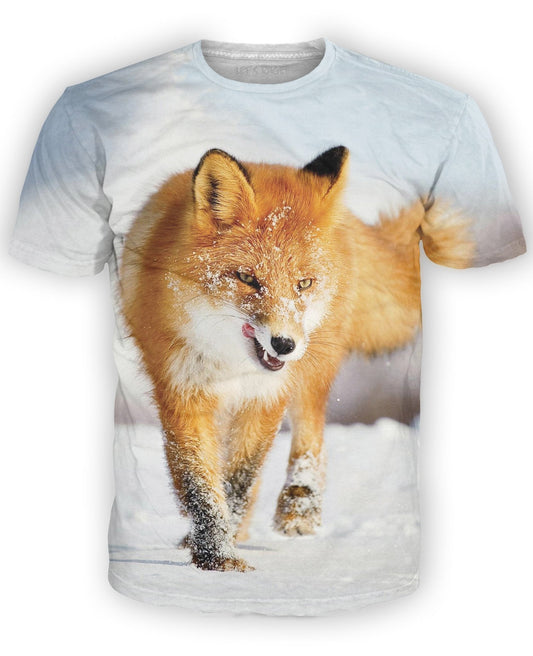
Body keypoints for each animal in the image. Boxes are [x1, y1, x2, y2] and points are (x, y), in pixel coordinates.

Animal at [120, 145, 474, 572]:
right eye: (248, 279)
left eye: (303, 283)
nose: (284, 344)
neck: (231, 366)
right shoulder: (182, 392)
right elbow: (201, 485)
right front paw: (217, 557)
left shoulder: (266, 396)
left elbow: (239, 478)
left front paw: (221, 554)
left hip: (311, 371)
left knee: (311, 436)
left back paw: (299, 509)